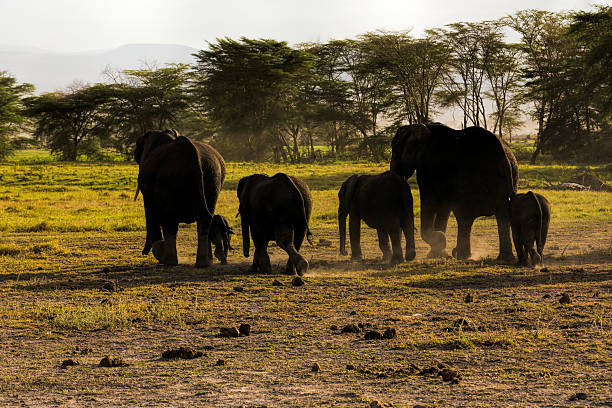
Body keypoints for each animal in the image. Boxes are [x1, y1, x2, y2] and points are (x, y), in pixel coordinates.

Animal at [135, 129, 226, 266]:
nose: (144, 253)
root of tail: (192, 154)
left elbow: (150, 211)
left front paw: (160, 254)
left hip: (168, 180)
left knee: (169, 221)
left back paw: (169, 262)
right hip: (213, 177)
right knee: (205, 217)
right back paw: (204, 263)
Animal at [390, 122, 520, 260]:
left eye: (395, 149)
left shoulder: (426, 169)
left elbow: (430, 202)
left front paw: (440, 241)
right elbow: (443, 208)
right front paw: (438, 252)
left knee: (464, 216)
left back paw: (460, 254)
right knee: (502, 215)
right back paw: (503, 259)